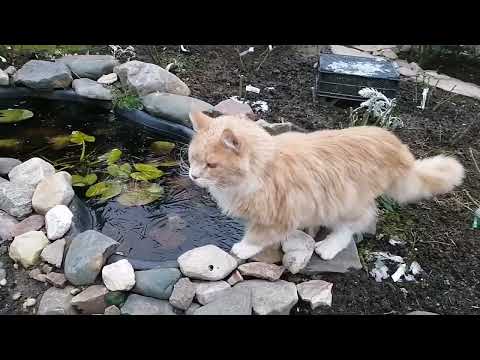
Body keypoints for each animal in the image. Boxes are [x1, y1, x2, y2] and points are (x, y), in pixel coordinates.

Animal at [188, 111, 464, 260]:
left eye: (211, 165)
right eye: (193, 158)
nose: (193, 175)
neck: (261, 171)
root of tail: (398, 146)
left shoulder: (279, 215)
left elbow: (257, 236)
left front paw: (244, 248)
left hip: (348, 203)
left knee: (357, 224)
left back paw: (328, 246)